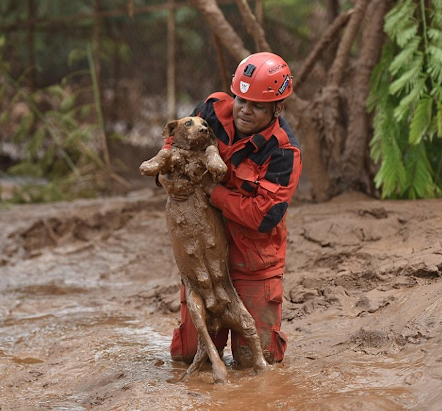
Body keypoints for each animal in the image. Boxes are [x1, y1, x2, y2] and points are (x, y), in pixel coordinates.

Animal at [140, 117, 268, 384]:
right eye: (189, 122)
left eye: (206, 123)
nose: (204, 129)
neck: (190, 153)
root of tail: (218, 316)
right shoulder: (172, 160)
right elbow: (165, 153)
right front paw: (149, 165)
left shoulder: (210, 166)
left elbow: (211, 150)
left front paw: (217, 164)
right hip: (196, 308)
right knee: (208, 344)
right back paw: (217, 374)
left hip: (243, 315)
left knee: (249, 338)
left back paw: (255, 371)